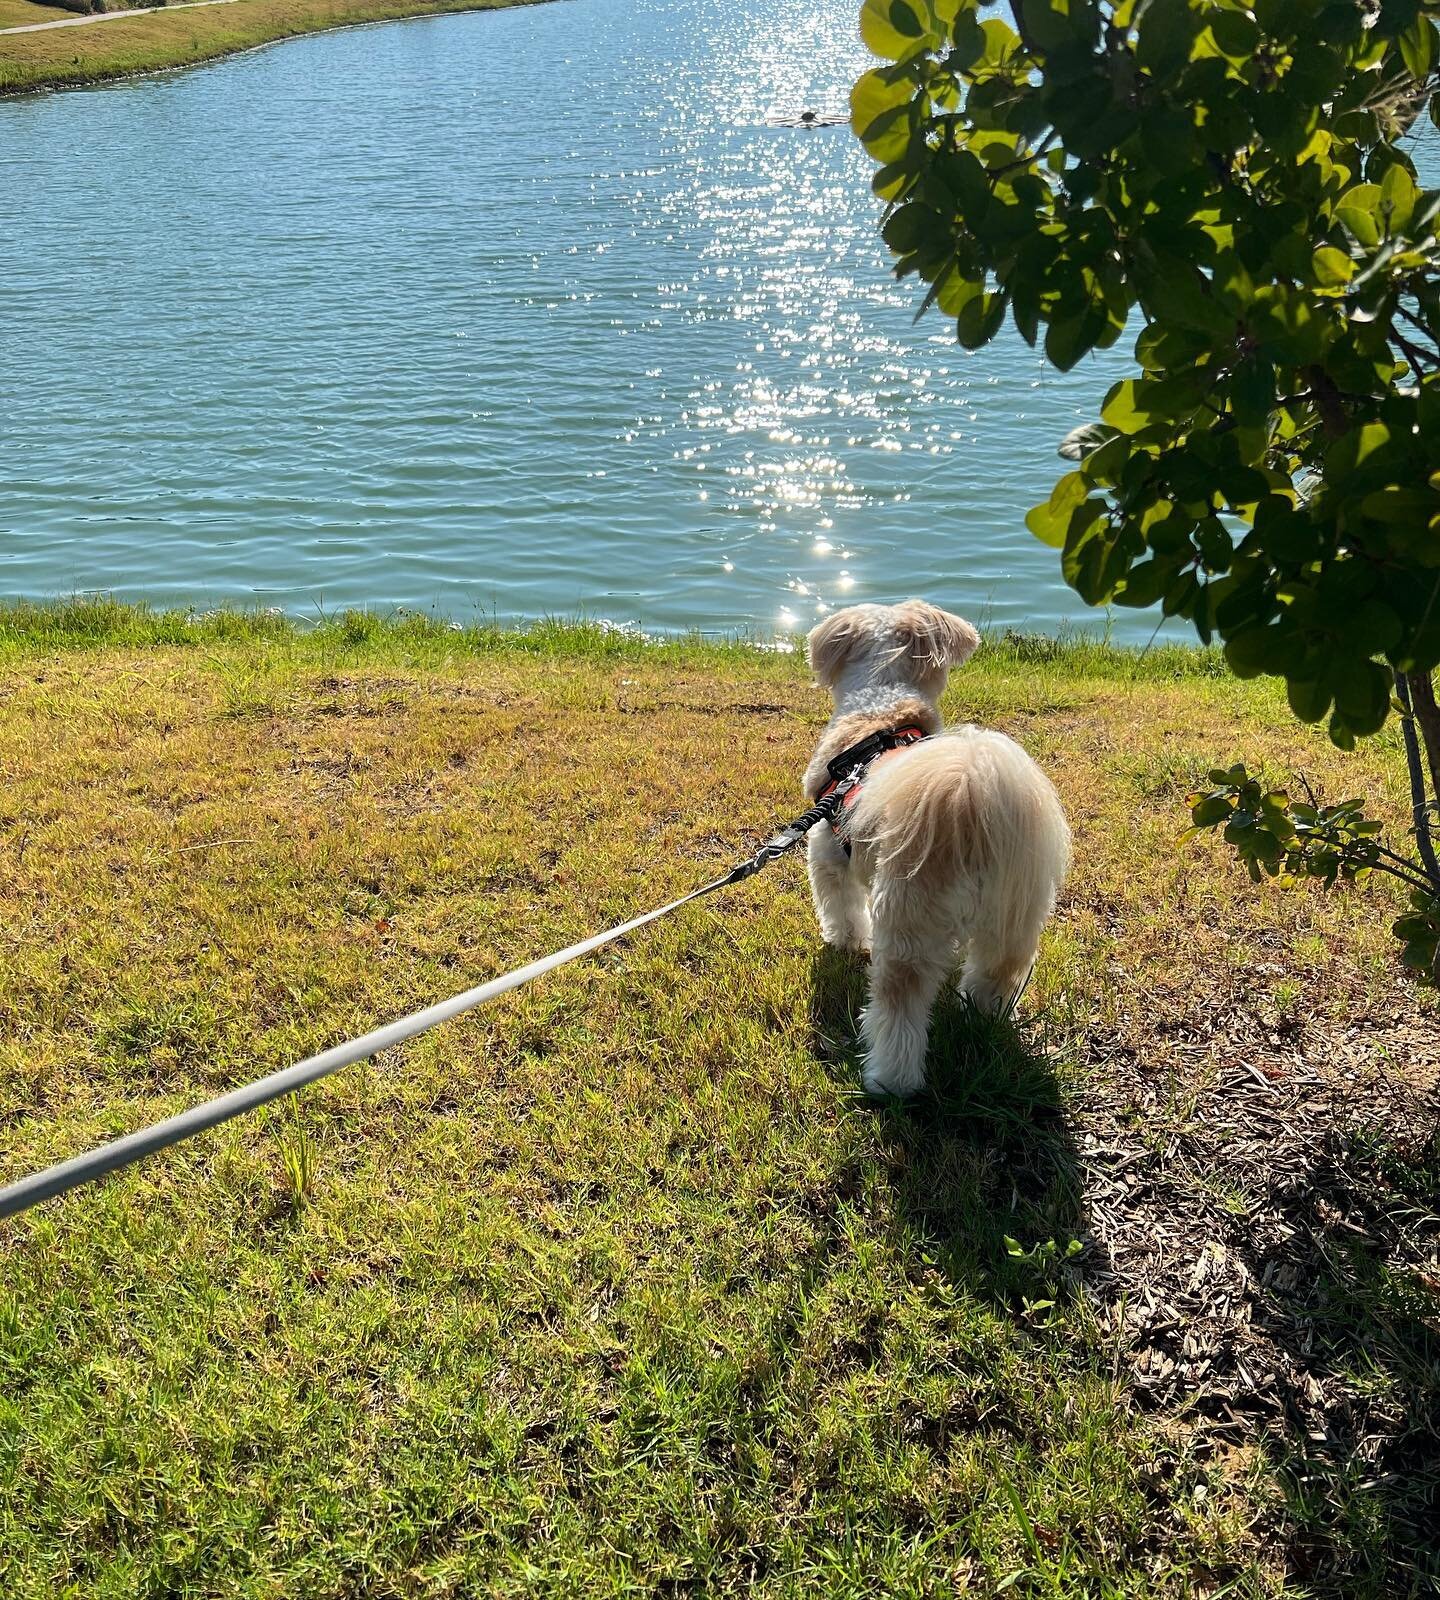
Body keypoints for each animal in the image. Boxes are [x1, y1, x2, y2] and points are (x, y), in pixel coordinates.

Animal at [800, 601, 1068, 1100]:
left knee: (900, 1008)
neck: (880, 713)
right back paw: (980, 1021)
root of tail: (967, 804)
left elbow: (841, 908)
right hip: (1015, 914)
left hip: (908, 919)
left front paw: (844, 940)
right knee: (996, 974)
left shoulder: (827, 849)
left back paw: (889, 1082)